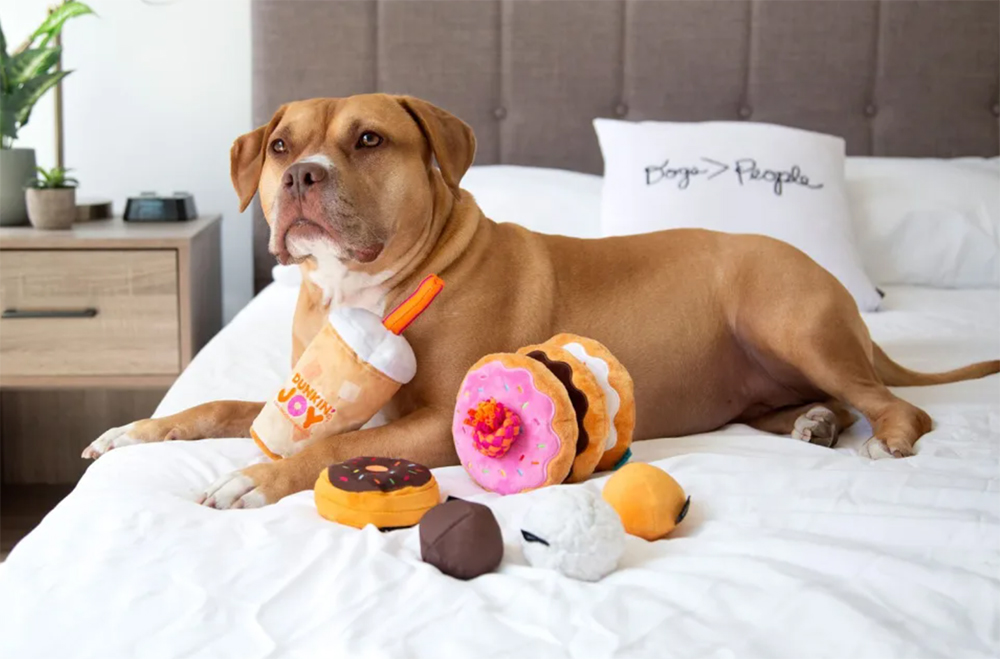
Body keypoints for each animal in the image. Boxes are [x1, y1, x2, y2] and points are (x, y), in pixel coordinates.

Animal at [82, 94, 996, 510]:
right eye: (279, 147)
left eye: (369, 139)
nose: (303, 176)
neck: (365, 287)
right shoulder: (305, 392)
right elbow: (213, 407)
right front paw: (133, 431)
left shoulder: (435, 422)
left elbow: (321, 449)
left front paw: (254, 478)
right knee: (822, 401)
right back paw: (815, 424)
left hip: (783, 317)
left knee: (894, 402)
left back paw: (886, 439)